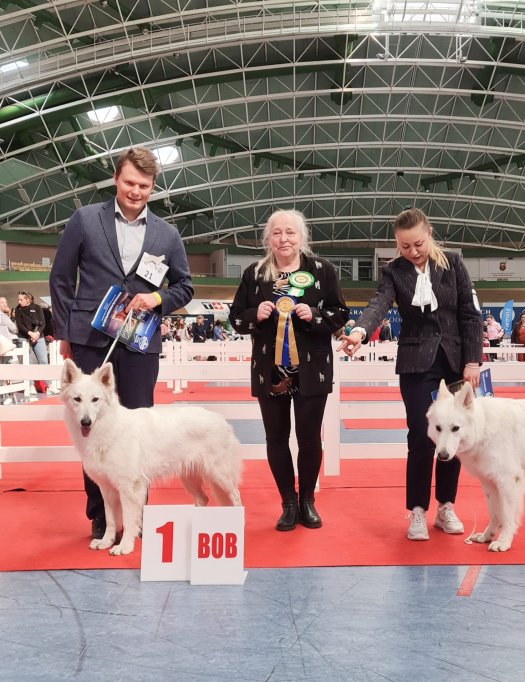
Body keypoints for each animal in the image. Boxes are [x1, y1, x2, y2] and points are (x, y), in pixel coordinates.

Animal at [61, 358, 242, 556]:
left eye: (95, 399)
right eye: (77, 399)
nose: (85, 422)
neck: (109, 426)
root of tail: (221, 419)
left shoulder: (130, 488)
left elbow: (129, 520)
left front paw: (124, 546)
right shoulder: (106, 488)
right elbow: (110, 520)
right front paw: (106, 542)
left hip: (219, 475)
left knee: (236, 497)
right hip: (190, 478)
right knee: (203, 499)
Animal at [426, 380, 524, 548]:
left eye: (455, 428)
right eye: (438, 428)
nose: (442, 456)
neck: (483, 429)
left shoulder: (508, 482)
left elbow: (506, 515)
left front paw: (503, 541)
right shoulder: (489, 483)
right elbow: (494, 512)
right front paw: (487, 535)